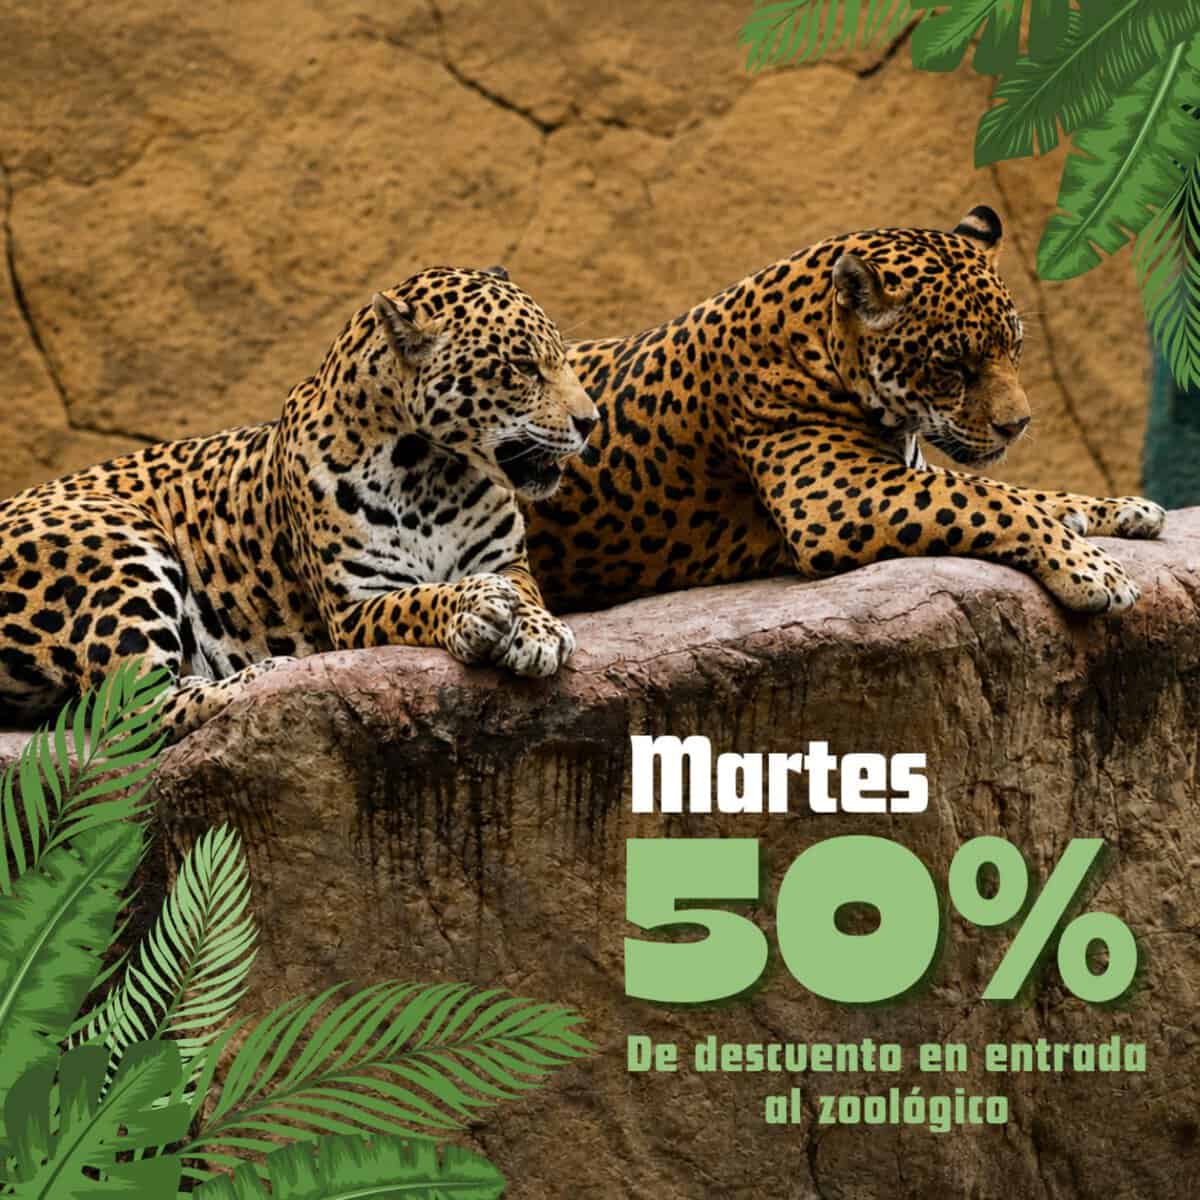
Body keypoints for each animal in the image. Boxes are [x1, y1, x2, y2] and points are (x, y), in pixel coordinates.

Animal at [0, 265, 598, 741]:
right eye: (522, 367)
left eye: (560, 358)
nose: (590, 421)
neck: (433, 474)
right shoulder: (354, 607)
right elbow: (422, 598)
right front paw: (473, 607)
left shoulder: (508, 562)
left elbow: (525, 593)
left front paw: (538, 630)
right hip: (115, 536)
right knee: (127, 713)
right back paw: (263, 676)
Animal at [526, 206, 1165, 616]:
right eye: (953, 366)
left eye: (1015, 347)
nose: (1018, 426)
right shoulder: (835, 497)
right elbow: (985, 497)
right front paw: (1091, 570)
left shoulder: (903, 468)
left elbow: (1020, 490)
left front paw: (1121, 508)